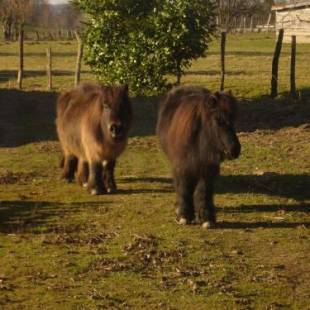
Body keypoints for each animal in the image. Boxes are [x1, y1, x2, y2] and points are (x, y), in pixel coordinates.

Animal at [156, 85, 241, 228]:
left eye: (233, 119)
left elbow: (203, 192)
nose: (235, 150)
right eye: (218, 119)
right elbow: (184, 189)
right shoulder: (183, 167)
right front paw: (184, 216)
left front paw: (207, 218)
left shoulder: (207, 170)